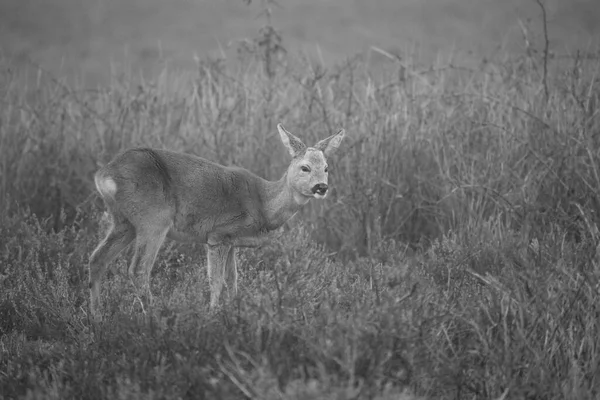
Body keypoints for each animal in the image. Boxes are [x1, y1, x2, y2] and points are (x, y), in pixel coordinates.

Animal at [86, 124, 344, 322]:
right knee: (138, 269)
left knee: (97, 258)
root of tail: (104, 174)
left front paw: (234, 312)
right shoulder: (218, 235)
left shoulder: (232, 242)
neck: (263, 205)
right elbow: (216, 280)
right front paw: (212, 315)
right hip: (154, 218)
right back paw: (156, 316)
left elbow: (233, 280)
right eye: (305, 167)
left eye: (326, 168)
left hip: (124, 222)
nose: (321, 187)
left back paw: (97, 317)